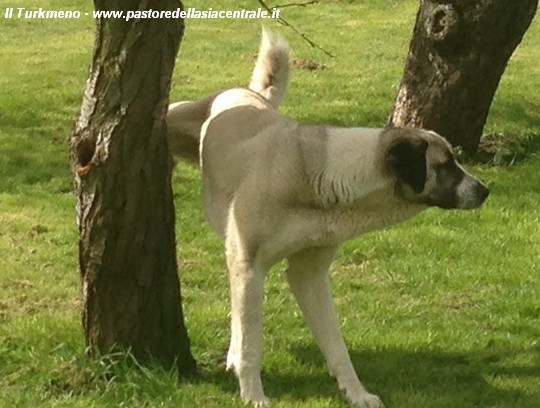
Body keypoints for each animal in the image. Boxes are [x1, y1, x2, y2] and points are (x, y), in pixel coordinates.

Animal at [168, 29, 490, 408]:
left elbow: (336, 345)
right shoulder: (249, 265)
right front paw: (254, 396)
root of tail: (248, 95)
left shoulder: (309, 275)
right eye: (445, 165)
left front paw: (357, 393)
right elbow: (252, 344)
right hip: (180, 119)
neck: (322, 180)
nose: (484, 190)